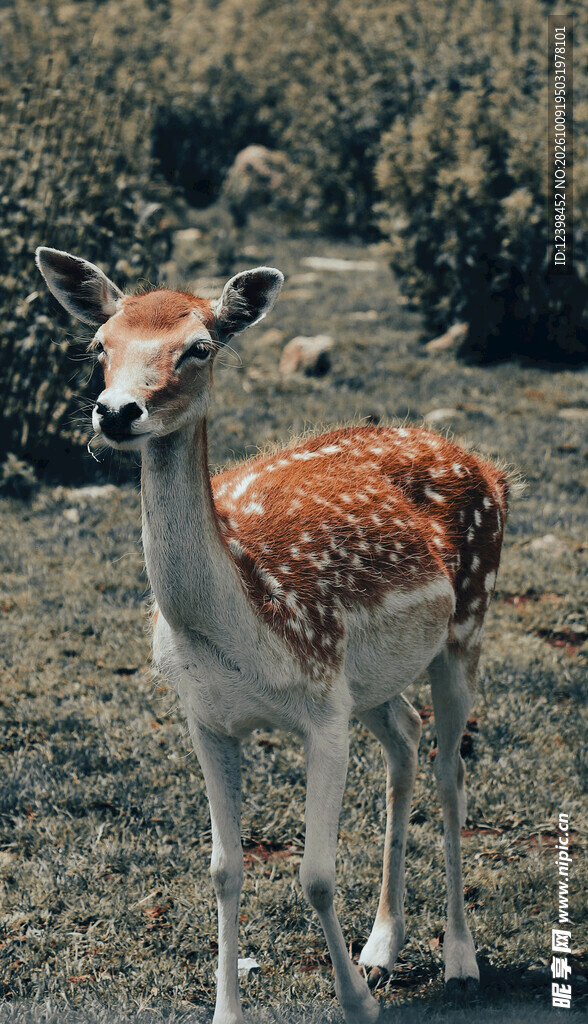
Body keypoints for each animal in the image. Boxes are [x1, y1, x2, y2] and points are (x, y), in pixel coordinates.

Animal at [36, 246, 509, 1024]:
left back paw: (461, 960)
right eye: (99, 345)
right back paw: (383, 945)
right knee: (406, 738)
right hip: (371, 680)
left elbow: (315, 876)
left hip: (467, 622)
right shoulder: (207, 718)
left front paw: (356, 1004)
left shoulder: (322, 708)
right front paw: (228, 1010)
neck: (239, 632)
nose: (116, 412)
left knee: (451, 772)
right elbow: (223, 868)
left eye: (199, 347)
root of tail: (489, 467)